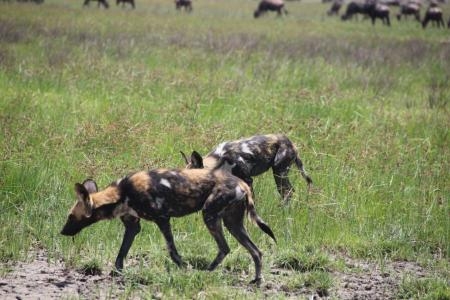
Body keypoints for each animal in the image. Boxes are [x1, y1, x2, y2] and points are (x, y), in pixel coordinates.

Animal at [60, 159, 274, 284]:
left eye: (70, 217)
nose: (62, 232)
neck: (122, 193)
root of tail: (242, 183)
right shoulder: (132, 226)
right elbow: (121, 254)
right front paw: (116, 274)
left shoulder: (163, 220)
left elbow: (172, 251)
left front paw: (184, 268)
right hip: (232, 223)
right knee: (254, 251)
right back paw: (254, 279)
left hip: (210, 216)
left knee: (225, 247)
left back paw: (205, 273)